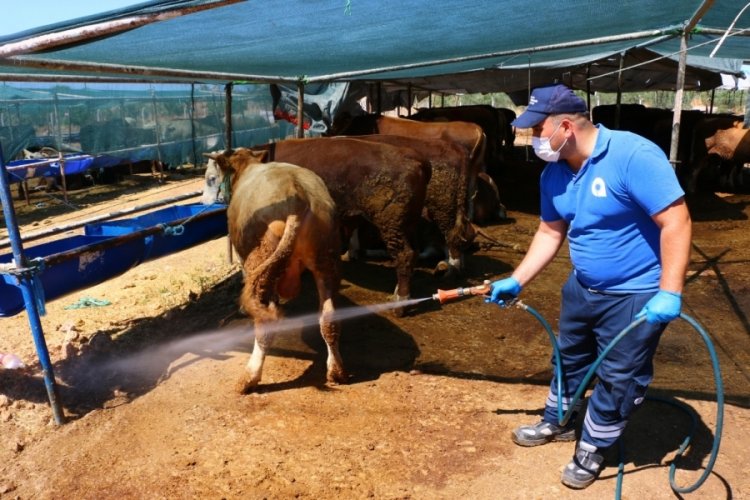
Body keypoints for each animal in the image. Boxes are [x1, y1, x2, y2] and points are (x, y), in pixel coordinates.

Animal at [203, 150, 350, 392]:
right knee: (329, 317)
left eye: (212, 177)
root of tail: (298, 196)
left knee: (266, 321)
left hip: (262, 258)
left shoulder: (244, 261)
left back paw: (249, 377)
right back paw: (336, 371)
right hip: (326, 259)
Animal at [253, 138, 432, 316]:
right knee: (413, 253)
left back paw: (400, 304)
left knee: (404, 255)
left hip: (393, 224)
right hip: (408, 225)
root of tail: (410, 155)